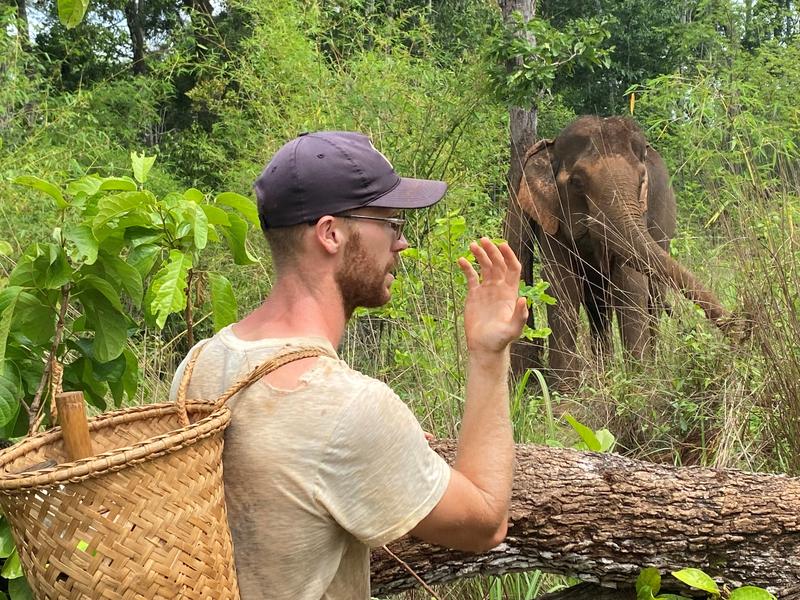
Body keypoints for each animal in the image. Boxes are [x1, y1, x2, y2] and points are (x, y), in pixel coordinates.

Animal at [509, 115, 736, 390]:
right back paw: (604, 374)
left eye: (641, 181)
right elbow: (562, 286)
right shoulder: (550, 215)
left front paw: (641, 384)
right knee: (597, 305)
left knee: (652, 300)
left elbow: (630, 284)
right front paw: (566, 392)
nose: (742, 329)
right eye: (576, 182)